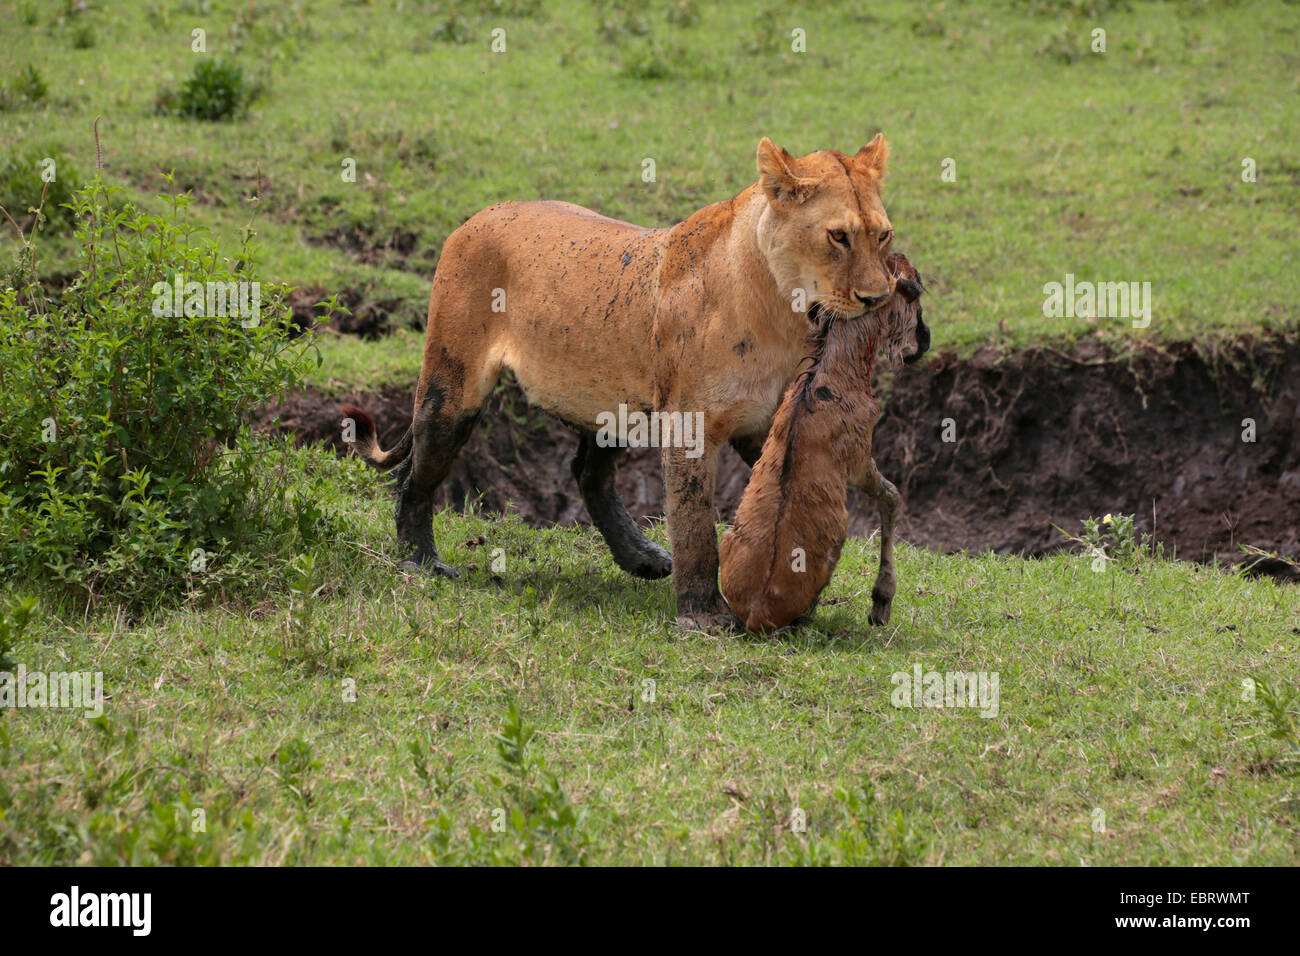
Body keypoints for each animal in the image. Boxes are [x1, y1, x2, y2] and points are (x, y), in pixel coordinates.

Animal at [722, 251, 925, 632]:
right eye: (915, 291)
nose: (925, 340)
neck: (828, 378)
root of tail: (757, 613)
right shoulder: (859, 461)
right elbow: (892, 495)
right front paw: (881, 602)